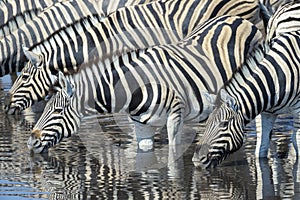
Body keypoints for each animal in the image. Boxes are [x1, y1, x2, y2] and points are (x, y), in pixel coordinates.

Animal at [25, 15, 264, 153]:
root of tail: (241, 20)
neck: (132, 89)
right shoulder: (141, 126)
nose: (30, 143)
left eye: (56, 111)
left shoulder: (174, 117)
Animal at [193, 2, 300, 169]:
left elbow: (296, 145)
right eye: (207, 124)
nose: (197, 160)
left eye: (224, 124)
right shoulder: (266, 113)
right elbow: (261, 150)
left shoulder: (298, 110)